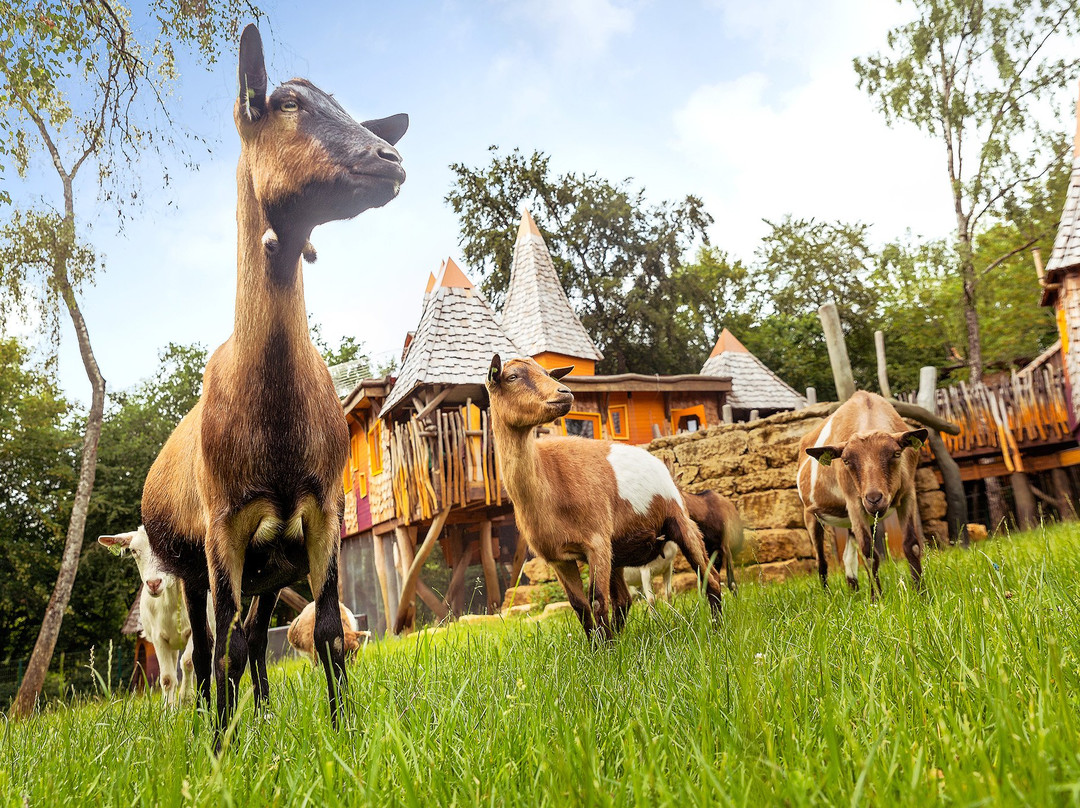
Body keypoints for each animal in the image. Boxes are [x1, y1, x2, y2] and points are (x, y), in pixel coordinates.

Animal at [142, 23, 408, 738]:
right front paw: (219, 748)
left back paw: (260, 713)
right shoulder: (225, 529)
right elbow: (221, 652)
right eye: (287, 103)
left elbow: (326, 633)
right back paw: (214, 720)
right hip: (195, 570)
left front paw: (344, 735)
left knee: (258, 639)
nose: (389, 158)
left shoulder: (319, 513)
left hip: (268, 570)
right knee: (212, 646)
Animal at [483, 354, 721, 639]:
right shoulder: (559, 558)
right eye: (512, 377)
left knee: (711, 579)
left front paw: (604, 648)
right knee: (625, 599)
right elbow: (580, 606)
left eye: (547, 373)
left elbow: (596, 600)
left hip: (679, 520)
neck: (548, 480)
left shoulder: (595, 541)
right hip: (617, 549)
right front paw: (597, 647)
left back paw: (719, 630)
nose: (564, 393)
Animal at [799, 391, 924, 591]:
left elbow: (912, 545)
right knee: (821, 561)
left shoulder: (907, 494)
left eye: (896, 454)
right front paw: (877, 597)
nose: (874, 498)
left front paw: (922, 592)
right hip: (811, 515)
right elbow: (868, 553)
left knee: (847, 559)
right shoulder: (854, 502)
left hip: (851, 522)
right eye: (846, 461)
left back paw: (854, 592)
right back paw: (828, 595)